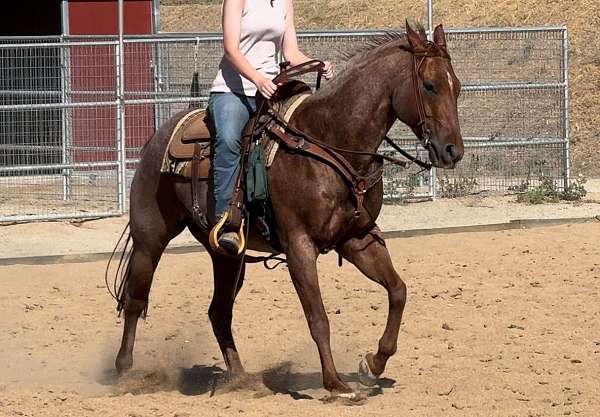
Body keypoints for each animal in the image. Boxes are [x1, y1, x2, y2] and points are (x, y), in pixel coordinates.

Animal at [116, 22, 464, 396]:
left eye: (456, 87)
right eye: (429, 86)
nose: (453, 151)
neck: (330, 140)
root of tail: (158, 137)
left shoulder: (358, 239)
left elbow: (398, 291)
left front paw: (372, 365)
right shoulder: (299, 247)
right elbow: (318, 318)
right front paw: (335, 384)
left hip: (227, 256)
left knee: (219, 312)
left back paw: (240, 378)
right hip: (150, 237)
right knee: (135, 301)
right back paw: (125, 372)